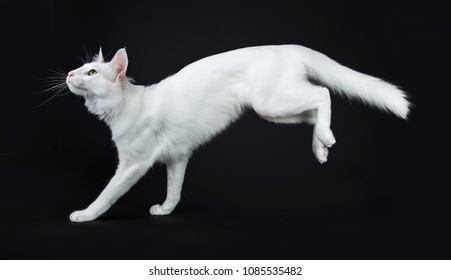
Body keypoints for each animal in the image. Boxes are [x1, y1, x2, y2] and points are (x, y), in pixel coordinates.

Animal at [66, 44, 410, 222]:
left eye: (91, 72)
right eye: (80, 69)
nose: (69, 74)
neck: (127, 105)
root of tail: (282, 47)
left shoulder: (133, 164)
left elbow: (108, 193)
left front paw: (85, 214)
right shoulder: (177, 157)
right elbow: (174, 191)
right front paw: (165, 210)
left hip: (272, 102)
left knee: (322, 93)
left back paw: (325, 139)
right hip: (273, 110)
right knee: (313, 110)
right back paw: (320, 147)